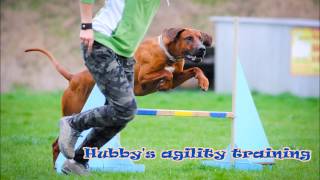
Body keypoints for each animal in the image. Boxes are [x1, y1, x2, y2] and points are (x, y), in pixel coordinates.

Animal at [24, 27, 210, 167]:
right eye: (189, 38)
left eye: (201, 38)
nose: (202, 49)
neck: (168, 54)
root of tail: (73, 77)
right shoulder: (143, 78)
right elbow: (167, 74)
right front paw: (164, 82)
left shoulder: (178, 74)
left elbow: (194, 69)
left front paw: (204, 81)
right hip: (75, 108)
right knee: (57, 142)